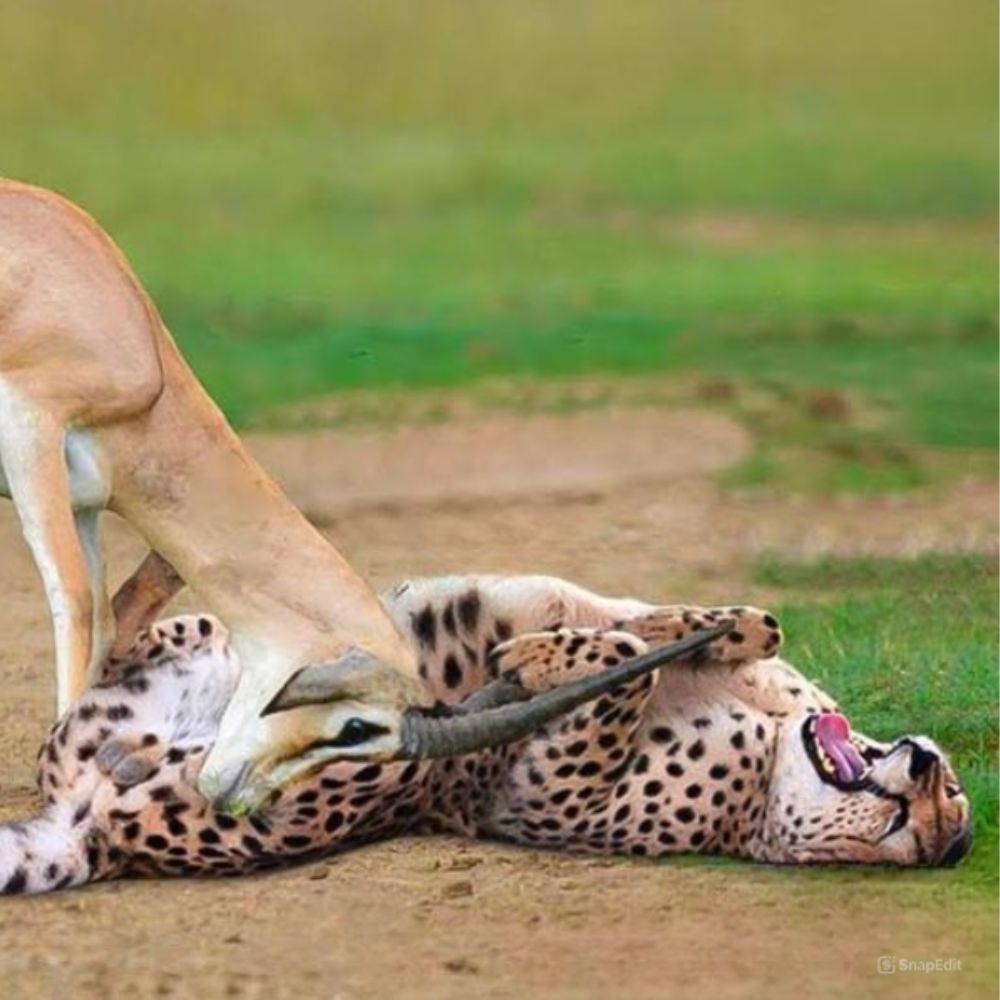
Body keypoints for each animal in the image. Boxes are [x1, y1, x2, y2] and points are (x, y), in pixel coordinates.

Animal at [0, 576, 968, 896]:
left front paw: (530, 656)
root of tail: (89, 832)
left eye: (907, 827)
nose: (924, 762)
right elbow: (731, 625)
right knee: (129, 631)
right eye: (952, 790)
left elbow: (620, 656)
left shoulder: (546, 794)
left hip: (351, 775)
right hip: (193, 643)